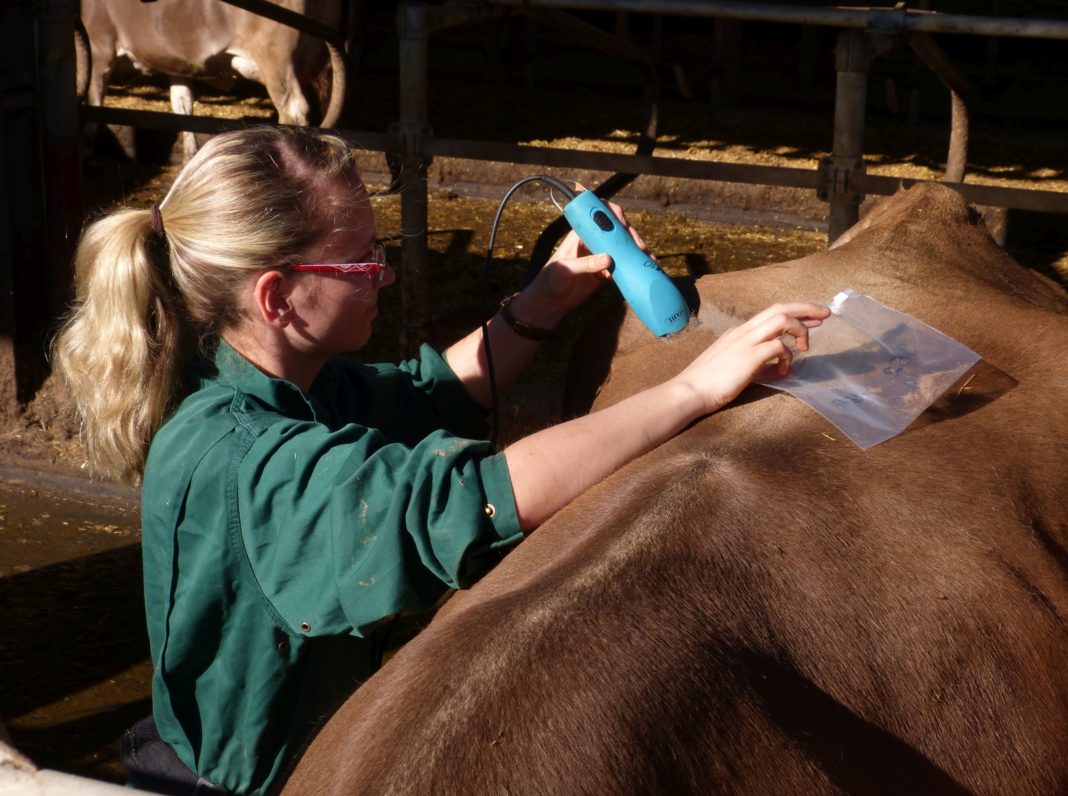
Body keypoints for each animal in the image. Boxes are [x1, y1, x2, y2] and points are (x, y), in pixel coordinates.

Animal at [79, 0, 346, 160]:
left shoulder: (100, 48)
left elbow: (94, 103)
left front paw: (88, 149)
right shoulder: (177, 65)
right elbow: (182, 105)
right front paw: (190, 155)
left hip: (277, 63)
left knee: (294, 110)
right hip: (320, 65)